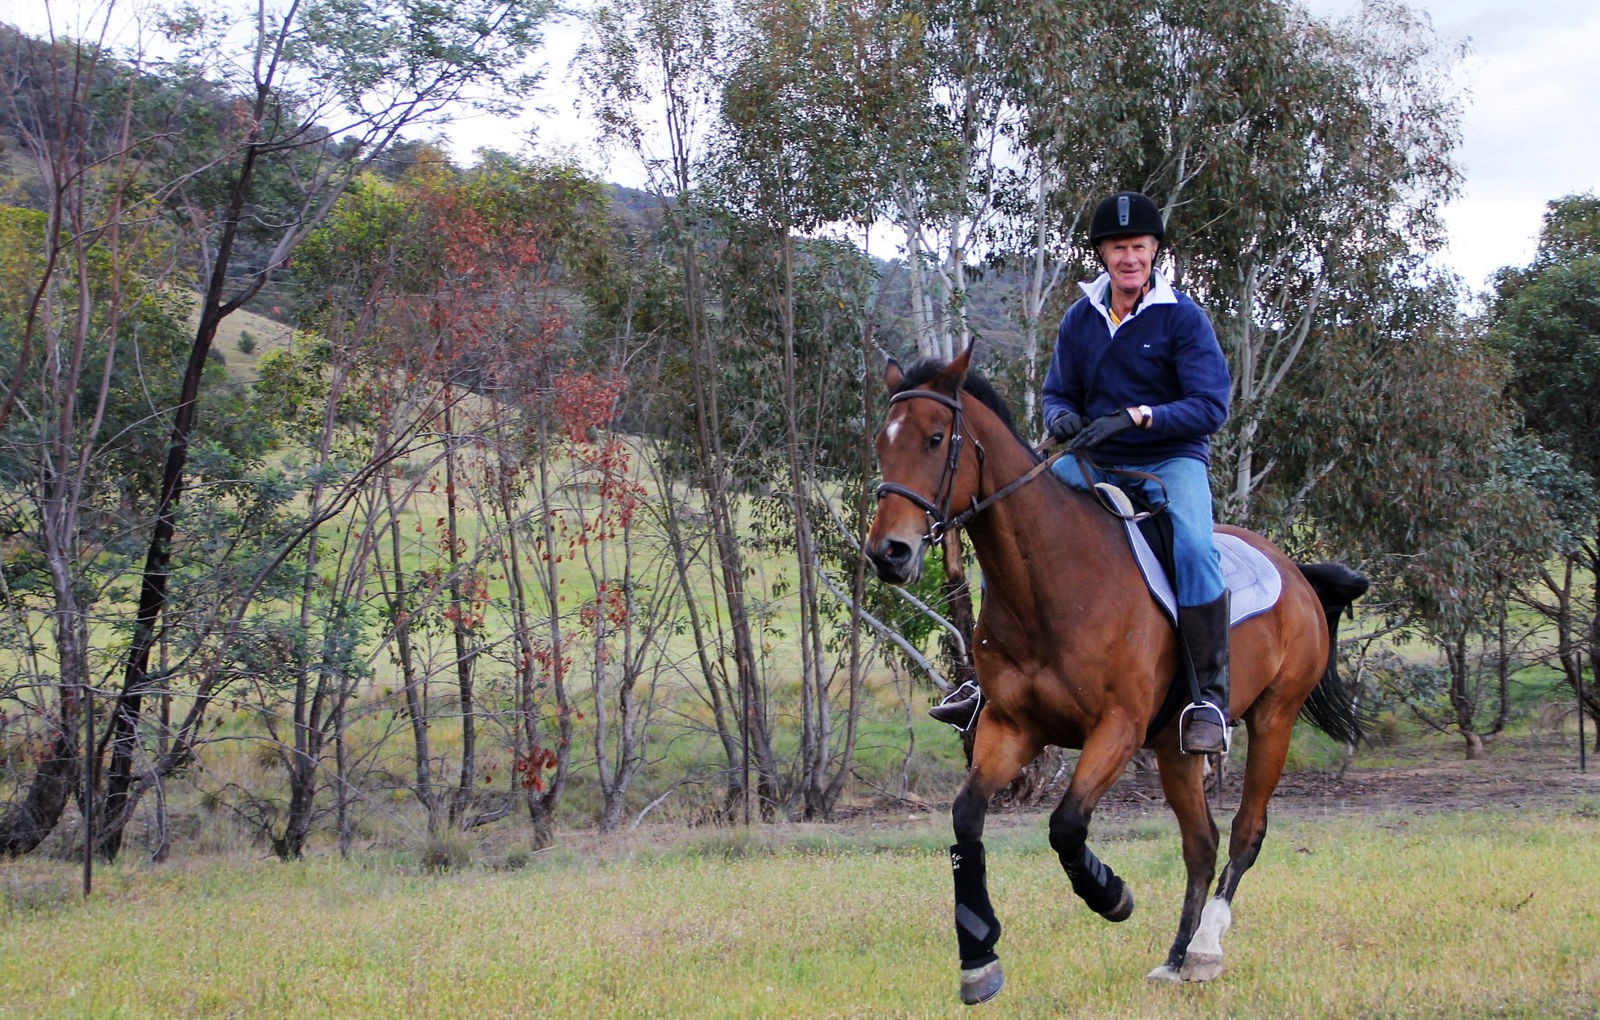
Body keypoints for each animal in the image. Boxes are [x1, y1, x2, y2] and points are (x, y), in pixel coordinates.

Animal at [864, 348, 1366, 1004]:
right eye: (882, 442)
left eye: (934, 438)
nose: (888, 553)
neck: (1049, 585)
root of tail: (1296, 572)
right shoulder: (1011, 727)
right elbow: (967, 818)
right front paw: (978, 959)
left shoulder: (1117, 730)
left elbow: (1067, 825)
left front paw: (1111, 895)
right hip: (1176, 748)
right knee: (1201, 845)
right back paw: (1176, 960)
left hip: (1272, 720)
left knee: (1245, 833)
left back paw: (1205, 948)